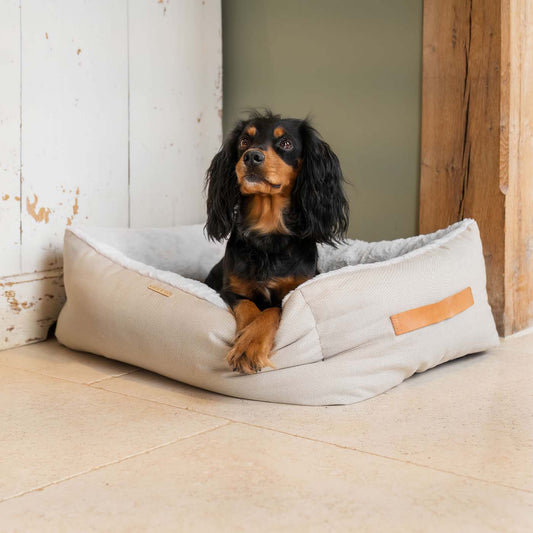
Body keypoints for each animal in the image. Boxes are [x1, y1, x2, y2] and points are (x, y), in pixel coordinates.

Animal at [205, 108, 350, 374]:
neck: (267, 234)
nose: (252, 157)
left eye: (286, 143)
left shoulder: (292, 293)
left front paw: (250, 345)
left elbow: (272, 310)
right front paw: (245, 338)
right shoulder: (230, 290)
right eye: (244, 141)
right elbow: (248, 306)